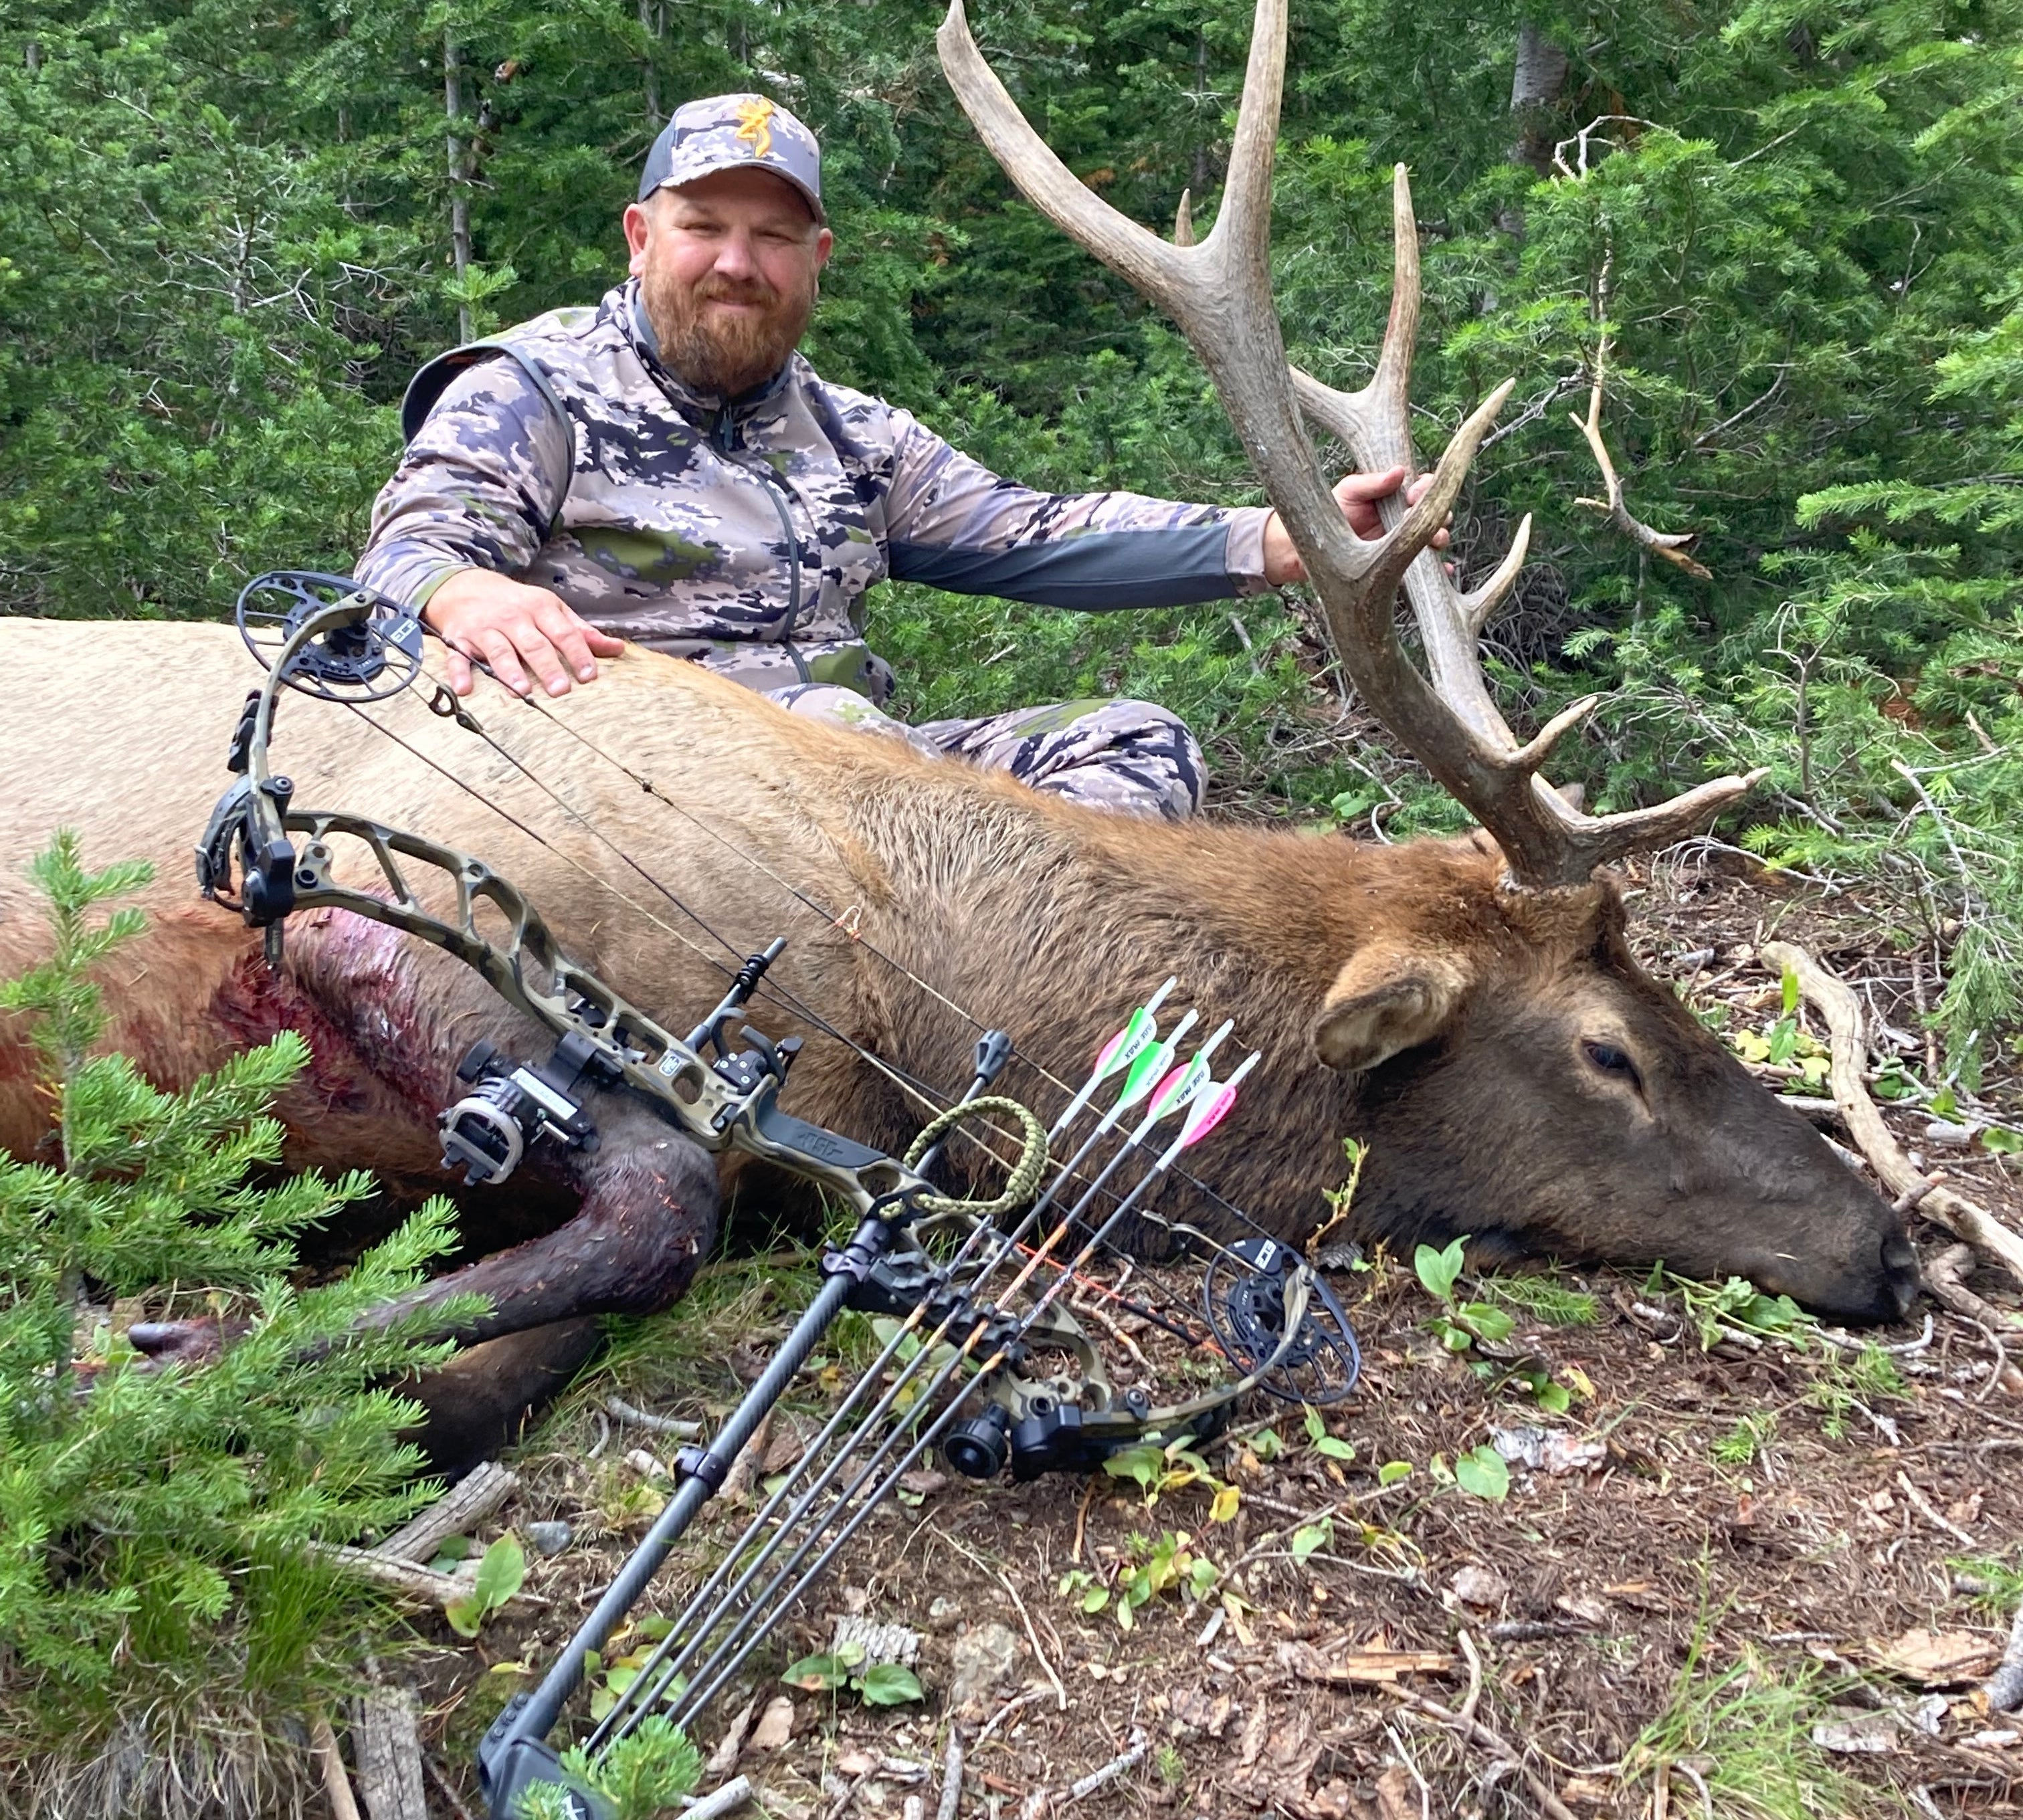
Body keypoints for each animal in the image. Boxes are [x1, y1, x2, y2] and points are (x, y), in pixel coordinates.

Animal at [0, 0, 1917, 1469]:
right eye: (1610, 1049)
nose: (1891, 1239)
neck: (911, 997)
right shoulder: (388, 907)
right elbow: (647, 1222)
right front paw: (149, 1354)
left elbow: (501, 1369)